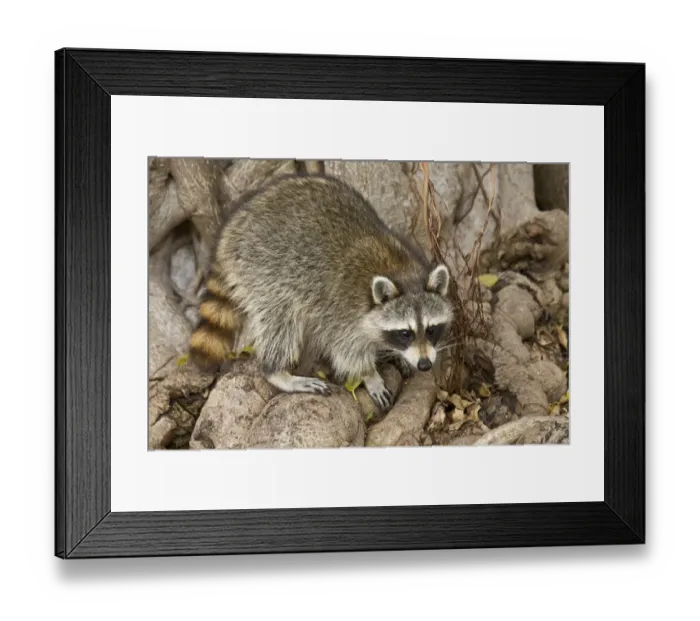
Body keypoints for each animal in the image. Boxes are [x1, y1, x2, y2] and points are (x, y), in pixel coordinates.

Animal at [188, 174, 454, 411]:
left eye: (431, 329)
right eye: (405, 333)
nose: (425, 364)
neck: (401, 273)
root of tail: (232, 229)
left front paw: (397, 355)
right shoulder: (343, 312)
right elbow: (347, 352)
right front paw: (370, 375)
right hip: (262, 270)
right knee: (281, 322)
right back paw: (277, 372)